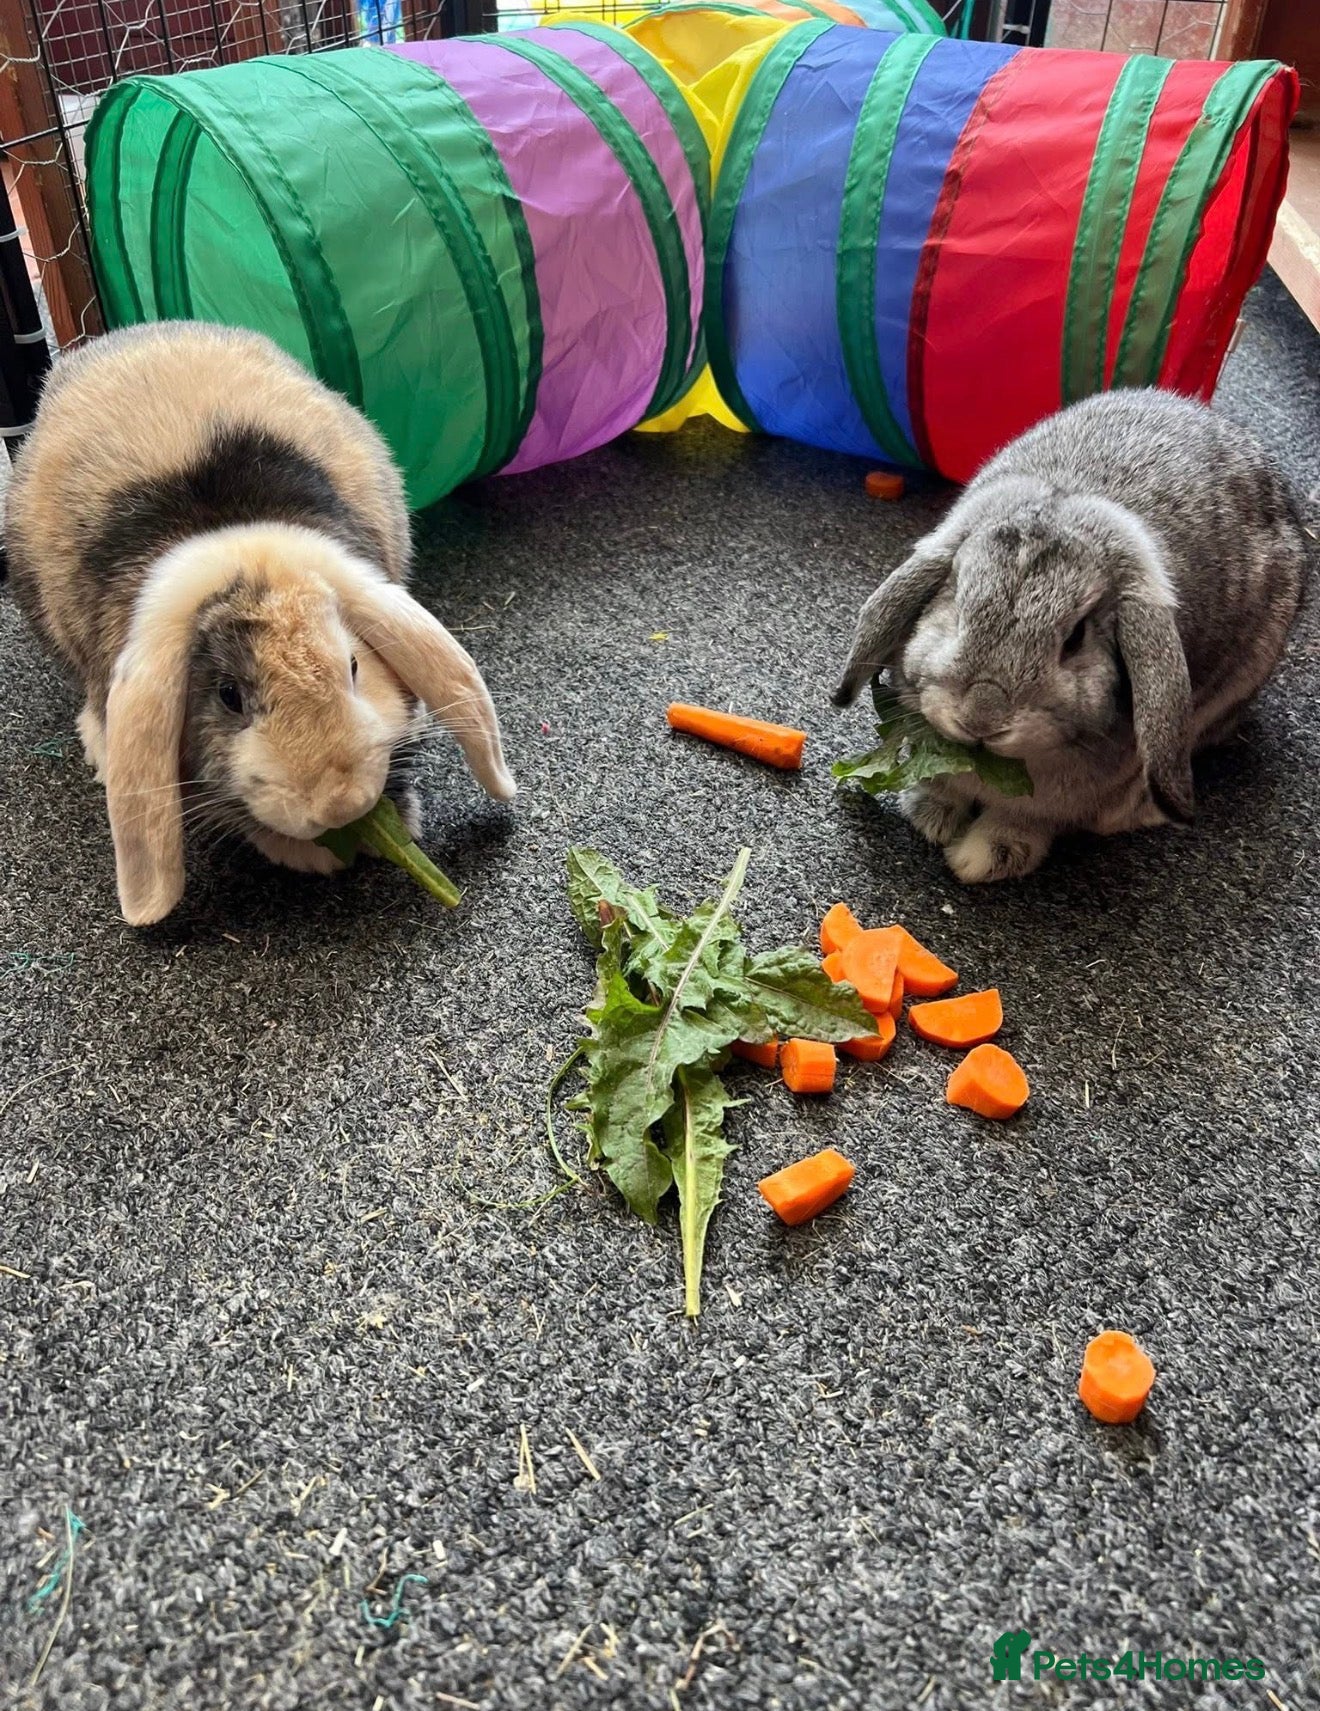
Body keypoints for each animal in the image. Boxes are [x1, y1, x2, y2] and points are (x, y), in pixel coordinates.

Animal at [832, 389, 1308, 884]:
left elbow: (1025, 819)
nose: (982, 718)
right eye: (956, 604)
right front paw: (930, 815)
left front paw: (985, 858)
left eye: (1075, 638)